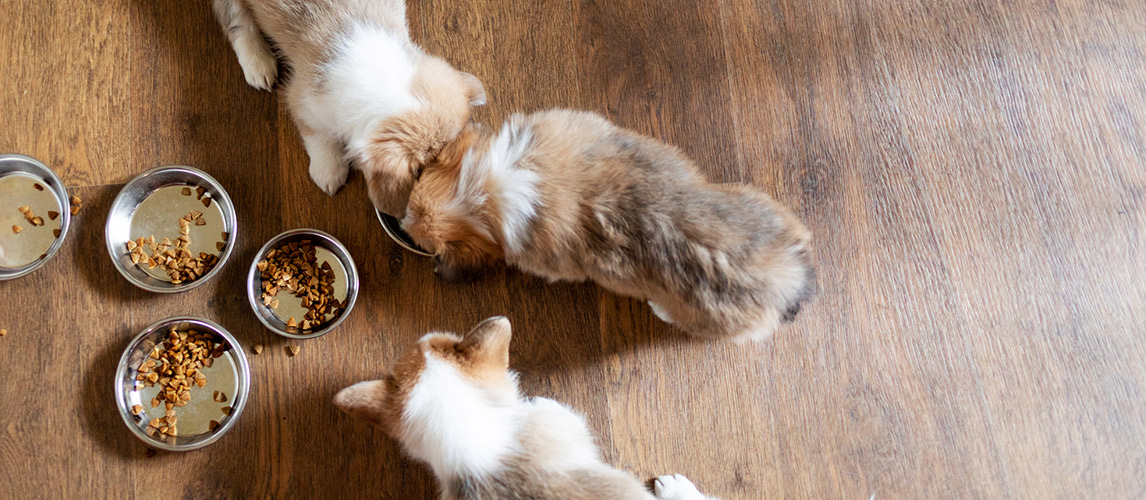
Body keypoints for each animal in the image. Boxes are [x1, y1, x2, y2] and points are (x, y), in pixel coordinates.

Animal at [213, 0, 485, 214]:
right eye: (424, 169)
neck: (380, 79)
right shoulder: (302, 102)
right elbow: (320, 140)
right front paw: (329, 173)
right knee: (237, 22)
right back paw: (258, 65)